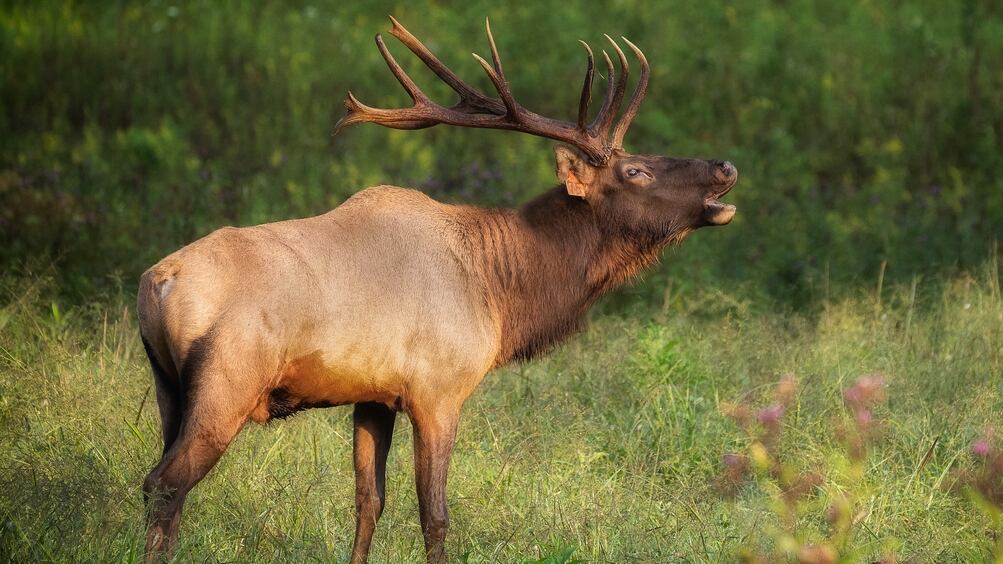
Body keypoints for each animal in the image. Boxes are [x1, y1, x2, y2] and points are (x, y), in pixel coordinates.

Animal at [137, 16, 737, 563]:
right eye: (635, 171)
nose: (725, 166)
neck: (502, 295)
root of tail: (156, 284)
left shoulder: (373, 395)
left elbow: (369, 502)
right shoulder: (439, 389)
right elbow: (435, 514)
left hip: (170, 388)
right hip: (228, 383)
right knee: (164, 484)